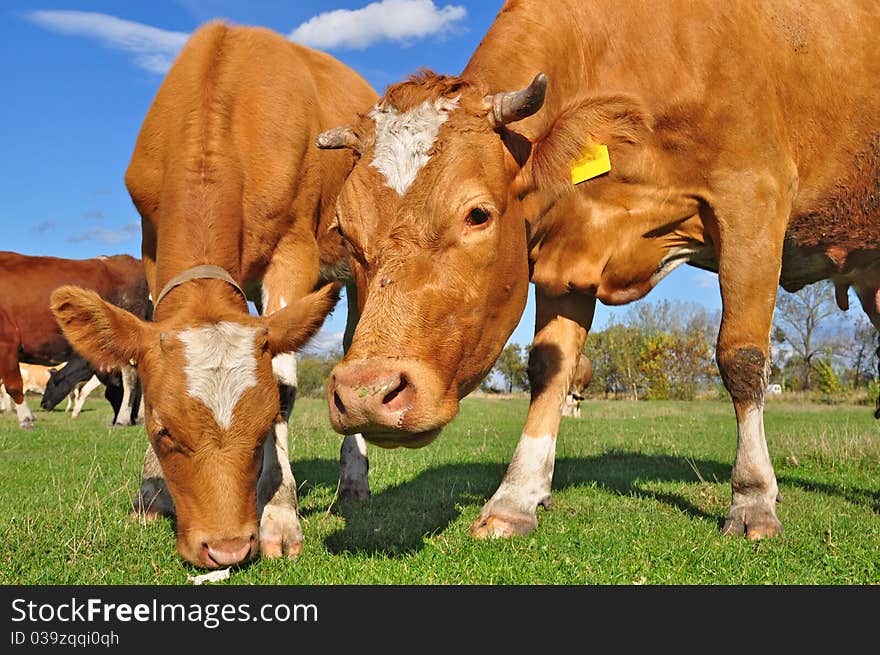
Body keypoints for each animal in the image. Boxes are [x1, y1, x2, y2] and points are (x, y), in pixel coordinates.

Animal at [0, 252, 149, 430]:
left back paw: (123, 419)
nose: (44, 405)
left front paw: (26, 420)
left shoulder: (6, 341)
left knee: (130, 380)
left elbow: (13, 386)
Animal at [49, 23, 376, 568]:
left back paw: (354, 480)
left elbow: (285, 384)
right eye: (163, 431)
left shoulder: (295, 251)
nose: (226, 548)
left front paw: (279, 514)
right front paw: (150, 492)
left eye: (261, 427)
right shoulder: (153, 245)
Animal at [318, 0, 880, 544]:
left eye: (477, 214)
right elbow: (550, 368)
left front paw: (754, 500)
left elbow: (740, 358)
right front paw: (515, 500)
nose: (366, 396)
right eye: (344, 228)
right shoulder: (568, 251)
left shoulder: (752, 200)